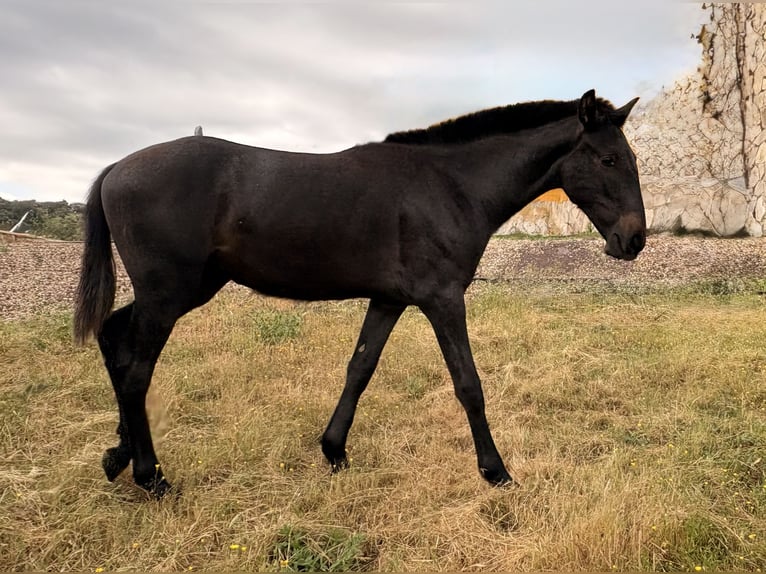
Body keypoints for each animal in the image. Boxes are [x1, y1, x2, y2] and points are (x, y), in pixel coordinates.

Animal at [74, 89, 645, 497]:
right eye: (609, 160)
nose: (634, 240)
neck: (449, 186)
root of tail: (117, 169)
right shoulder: (442, 299)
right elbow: (468, 384)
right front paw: (496, 472)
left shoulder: (390, 300)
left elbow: (360, 368)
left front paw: (334, 451)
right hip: (168, 295)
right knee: (136, 372)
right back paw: (150, 476)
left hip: (179, 291)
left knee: (113, 339)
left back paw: (118, 455)